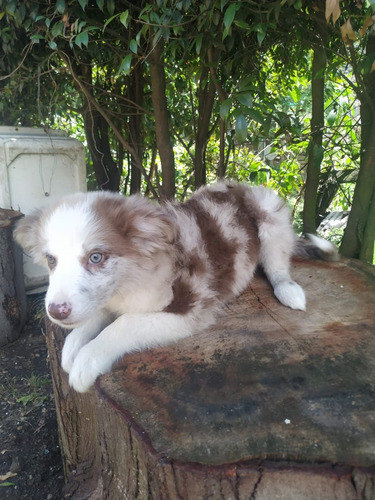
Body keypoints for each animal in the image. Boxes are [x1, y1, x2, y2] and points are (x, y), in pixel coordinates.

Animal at [13, 182, 338, 392]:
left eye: (96, 257)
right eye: (51, 260)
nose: (56, 311)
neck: (130, 282)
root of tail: (242, 185)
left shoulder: (190, 306)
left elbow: (125, 324)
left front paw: (88, 358)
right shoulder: (108, 298)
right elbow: (96, 316)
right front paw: (74, 345)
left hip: (271, 217)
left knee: (278, 266)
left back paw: (289, 291)